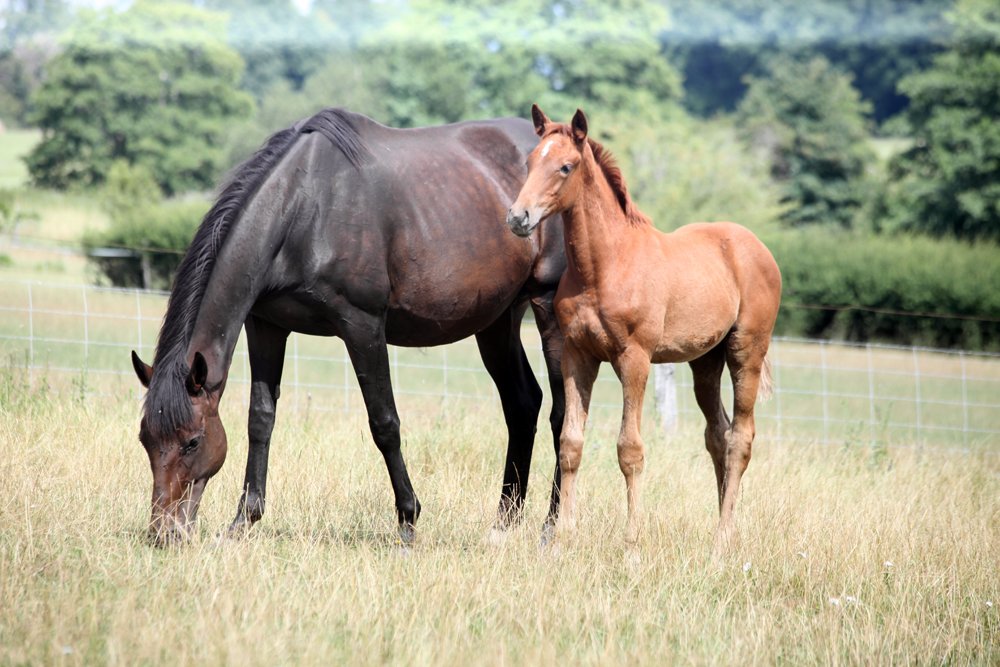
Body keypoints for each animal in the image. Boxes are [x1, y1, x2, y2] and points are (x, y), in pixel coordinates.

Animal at [130, 107, 568, 546]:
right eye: (145, 439)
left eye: (192, 442)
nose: (163, 533)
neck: (303, 208)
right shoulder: (266, 326)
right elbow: (261, 418)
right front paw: (244, 521)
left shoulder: (362, 326)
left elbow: (384, 422)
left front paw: (408, 521)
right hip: (497, 320)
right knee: (522, 403)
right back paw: (504, 522)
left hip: (547, 308)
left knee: (562, 413)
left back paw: (552, 523)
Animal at [506, 105, 781, 553]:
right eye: (529, 162)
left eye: (566, 166)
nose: (518, 217)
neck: (605, 265)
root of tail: (756, 246)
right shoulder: (577, 356)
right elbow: (570, 443)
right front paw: (563, 536)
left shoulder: (634, 359)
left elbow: (629, 449)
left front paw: (632, 542)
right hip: (706, 361)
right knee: (718, 435)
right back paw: (719, 525)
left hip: (746, 352)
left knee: (741, 438)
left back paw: (723, 538)